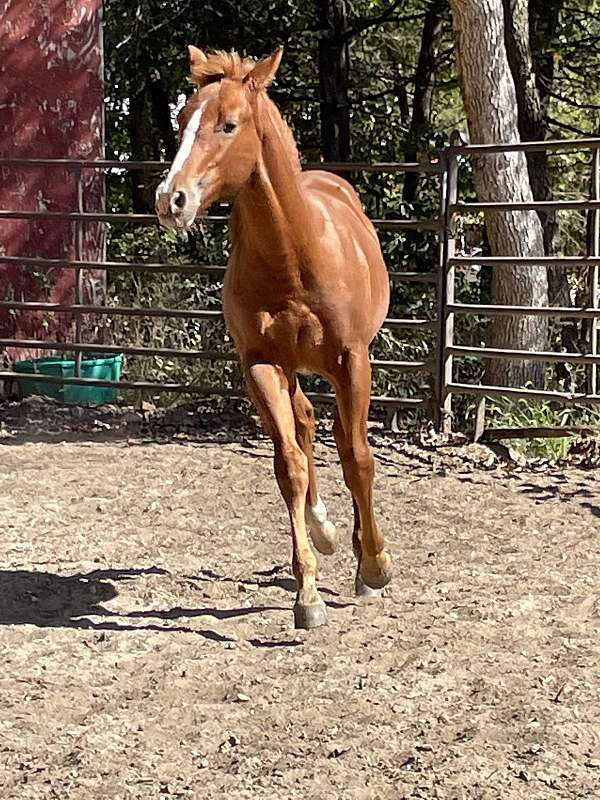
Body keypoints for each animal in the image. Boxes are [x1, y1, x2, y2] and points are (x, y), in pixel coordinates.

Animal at [155, 47, 392, 628]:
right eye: (181, 120)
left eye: (229, 124)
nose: (171, 199)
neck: (294, 257)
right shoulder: (261, 364)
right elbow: (290, 466)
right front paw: (306, 595)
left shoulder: (352, 361)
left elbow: (358, 458)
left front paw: (374, 566)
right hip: (288, 370)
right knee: (304, 428)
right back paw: (323, 531)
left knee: (336, 439)